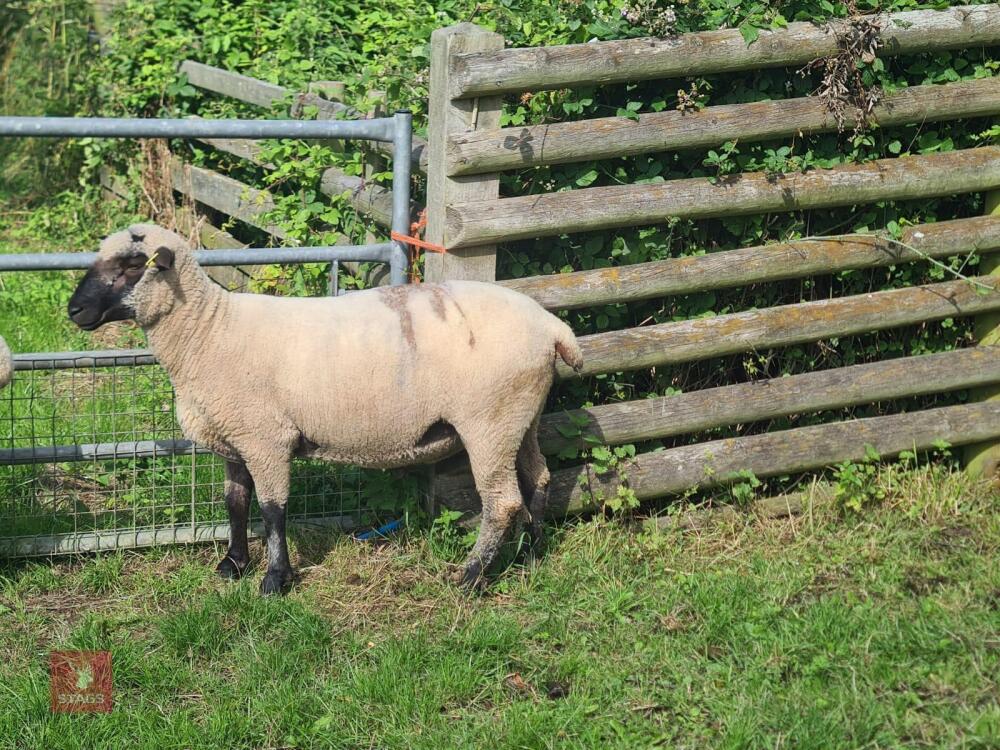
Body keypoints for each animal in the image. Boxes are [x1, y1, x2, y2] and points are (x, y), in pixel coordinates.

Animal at [66, 226, 584, 596]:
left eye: (133, 264)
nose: (73, 311)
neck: (209, 331)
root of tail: (552, 327)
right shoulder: (236, 439)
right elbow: (236, 502)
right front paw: (233, 564)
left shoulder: (267, 438)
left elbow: (273, 510)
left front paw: (274, 580)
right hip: (520, 416)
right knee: (538, 477)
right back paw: (531, 553)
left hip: (489, 421)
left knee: (502, 501)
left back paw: (471, 576)